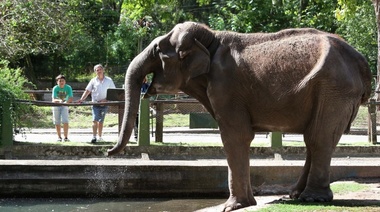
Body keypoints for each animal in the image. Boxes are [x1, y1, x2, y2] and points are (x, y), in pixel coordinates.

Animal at [107, 22, 372, 211]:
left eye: (157, 51)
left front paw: (231, 207)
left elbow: (235, 136)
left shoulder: (226, 87)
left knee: (318, 138)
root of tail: (361, 60)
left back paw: (311, 198)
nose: (109, 152)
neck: (210, 41)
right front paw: (243, 204)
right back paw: (294, 195)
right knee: (313, 138)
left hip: (334, 90)